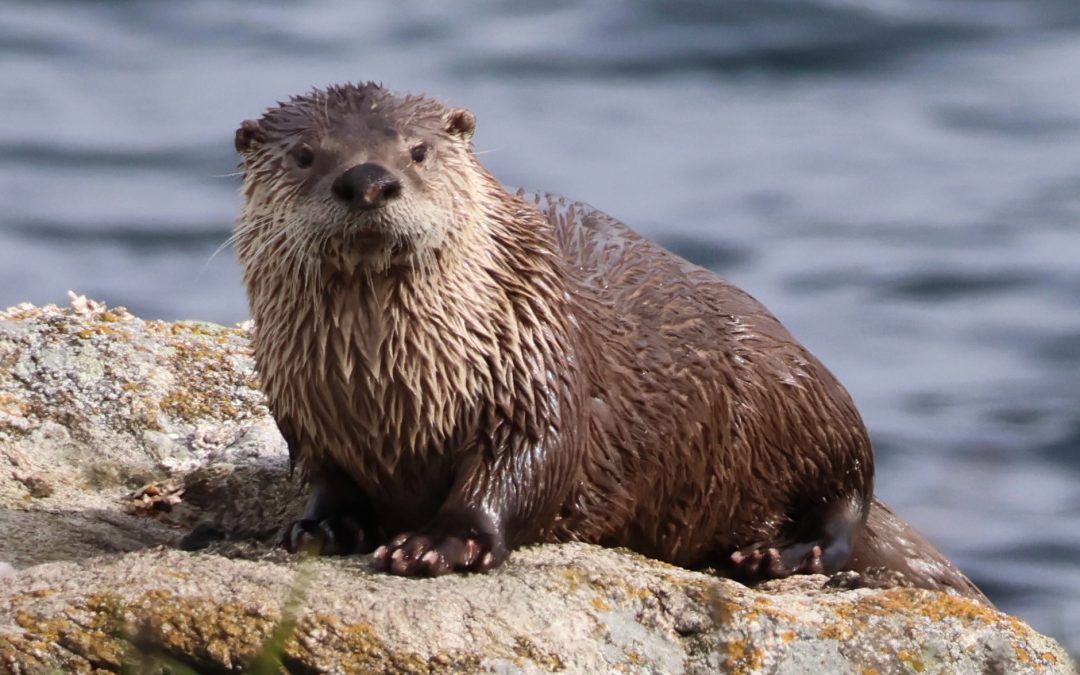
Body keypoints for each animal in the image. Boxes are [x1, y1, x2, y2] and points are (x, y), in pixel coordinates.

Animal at [231, 82, 984, 599]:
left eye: (417, 150)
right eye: (305, 155)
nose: (367, 179)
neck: (391, 391)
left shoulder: (536, 363)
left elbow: (526, 464)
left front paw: (437, 544)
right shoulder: (307, 410)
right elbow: (327, 478)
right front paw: (320, 527)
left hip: (807, 400)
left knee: (846, 509)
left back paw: (775, 554)